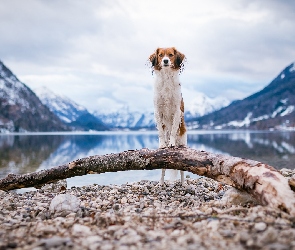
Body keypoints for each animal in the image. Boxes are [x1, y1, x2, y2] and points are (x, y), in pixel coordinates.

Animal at [149, 47, 188, 185]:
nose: (165, 61)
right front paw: (163, 144)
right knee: (163, 168)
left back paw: (183, 184)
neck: (166, 78)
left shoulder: (177, 111)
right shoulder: (157, 111)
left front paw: (171, 143)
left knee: (182, 170)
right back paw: (161, 183)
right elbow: (161, 132)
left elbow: (172, 131)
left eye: (170, 55)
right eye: (160, 55)